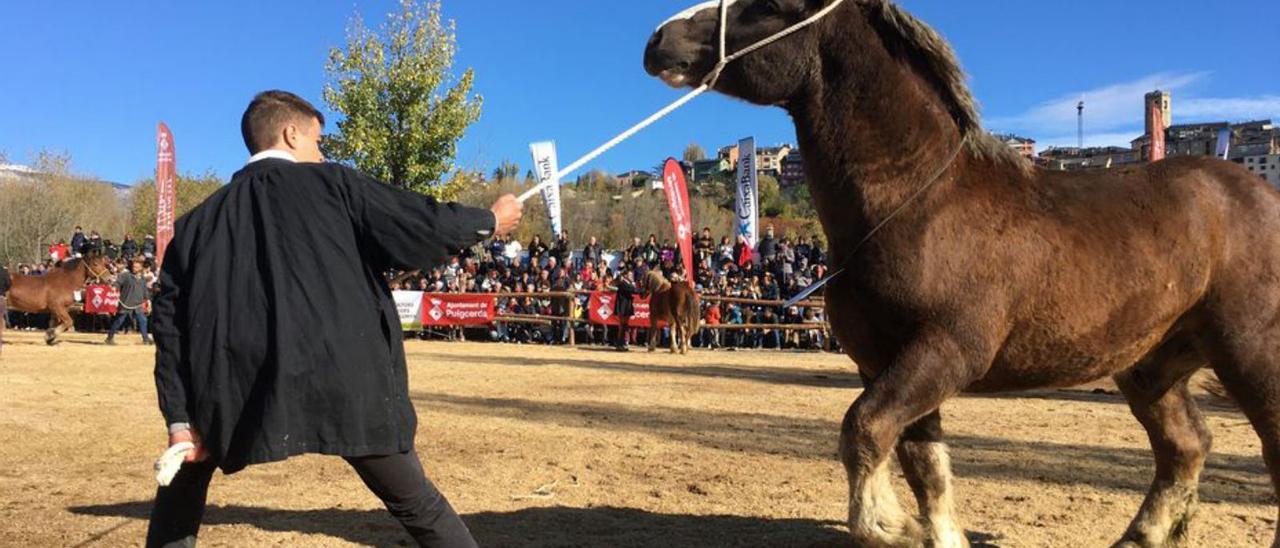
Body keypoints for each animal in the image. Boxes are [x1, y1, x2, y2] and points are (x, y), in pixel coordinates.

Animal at [650, 2, 1280, 545]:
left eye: (771, 5)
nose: (659, 41)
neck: (922, 202)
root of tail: (1261, 193)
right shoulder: (886, 362)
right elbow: (923, 464)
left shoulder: (948, 350)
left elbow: (865, 429)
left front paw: (889, 526)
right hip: (1152, 365)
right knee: (1186, 445)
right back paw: (1141, 536)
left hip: (1249, 352)